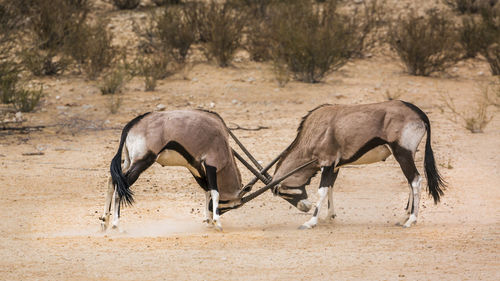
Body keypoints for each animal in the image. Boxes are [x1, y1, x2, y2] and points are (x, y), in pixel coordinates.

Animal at [99, 109, 244, 230]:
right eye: (235, 204)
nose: (210, 210)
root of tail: (132, 124)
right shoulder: (211, 164)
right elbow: (215, 191)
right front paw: (217, 222)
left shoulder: (194, 164)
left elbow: (206, 188)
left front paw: (208, 220)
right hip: (142, 162)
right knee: (121, 187)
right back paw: (115, 224)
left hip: (129, 161)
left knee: (112, 180)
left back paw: (105, 222)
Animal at [274, 100, 446, 228]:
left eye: (282, 192)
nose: (305, 207)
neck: (314, 132)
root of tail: (419, 113)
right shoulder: (335, 167)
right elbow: (331, 187)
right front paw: (329, 216)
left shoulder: (328, 163)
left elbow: (322, 191)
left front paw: (310, 222)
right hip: (407, 155)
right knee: (411, 182)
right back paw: (404, 216)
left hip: (402, 153)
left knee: (415, 180)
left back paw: (411, 220)